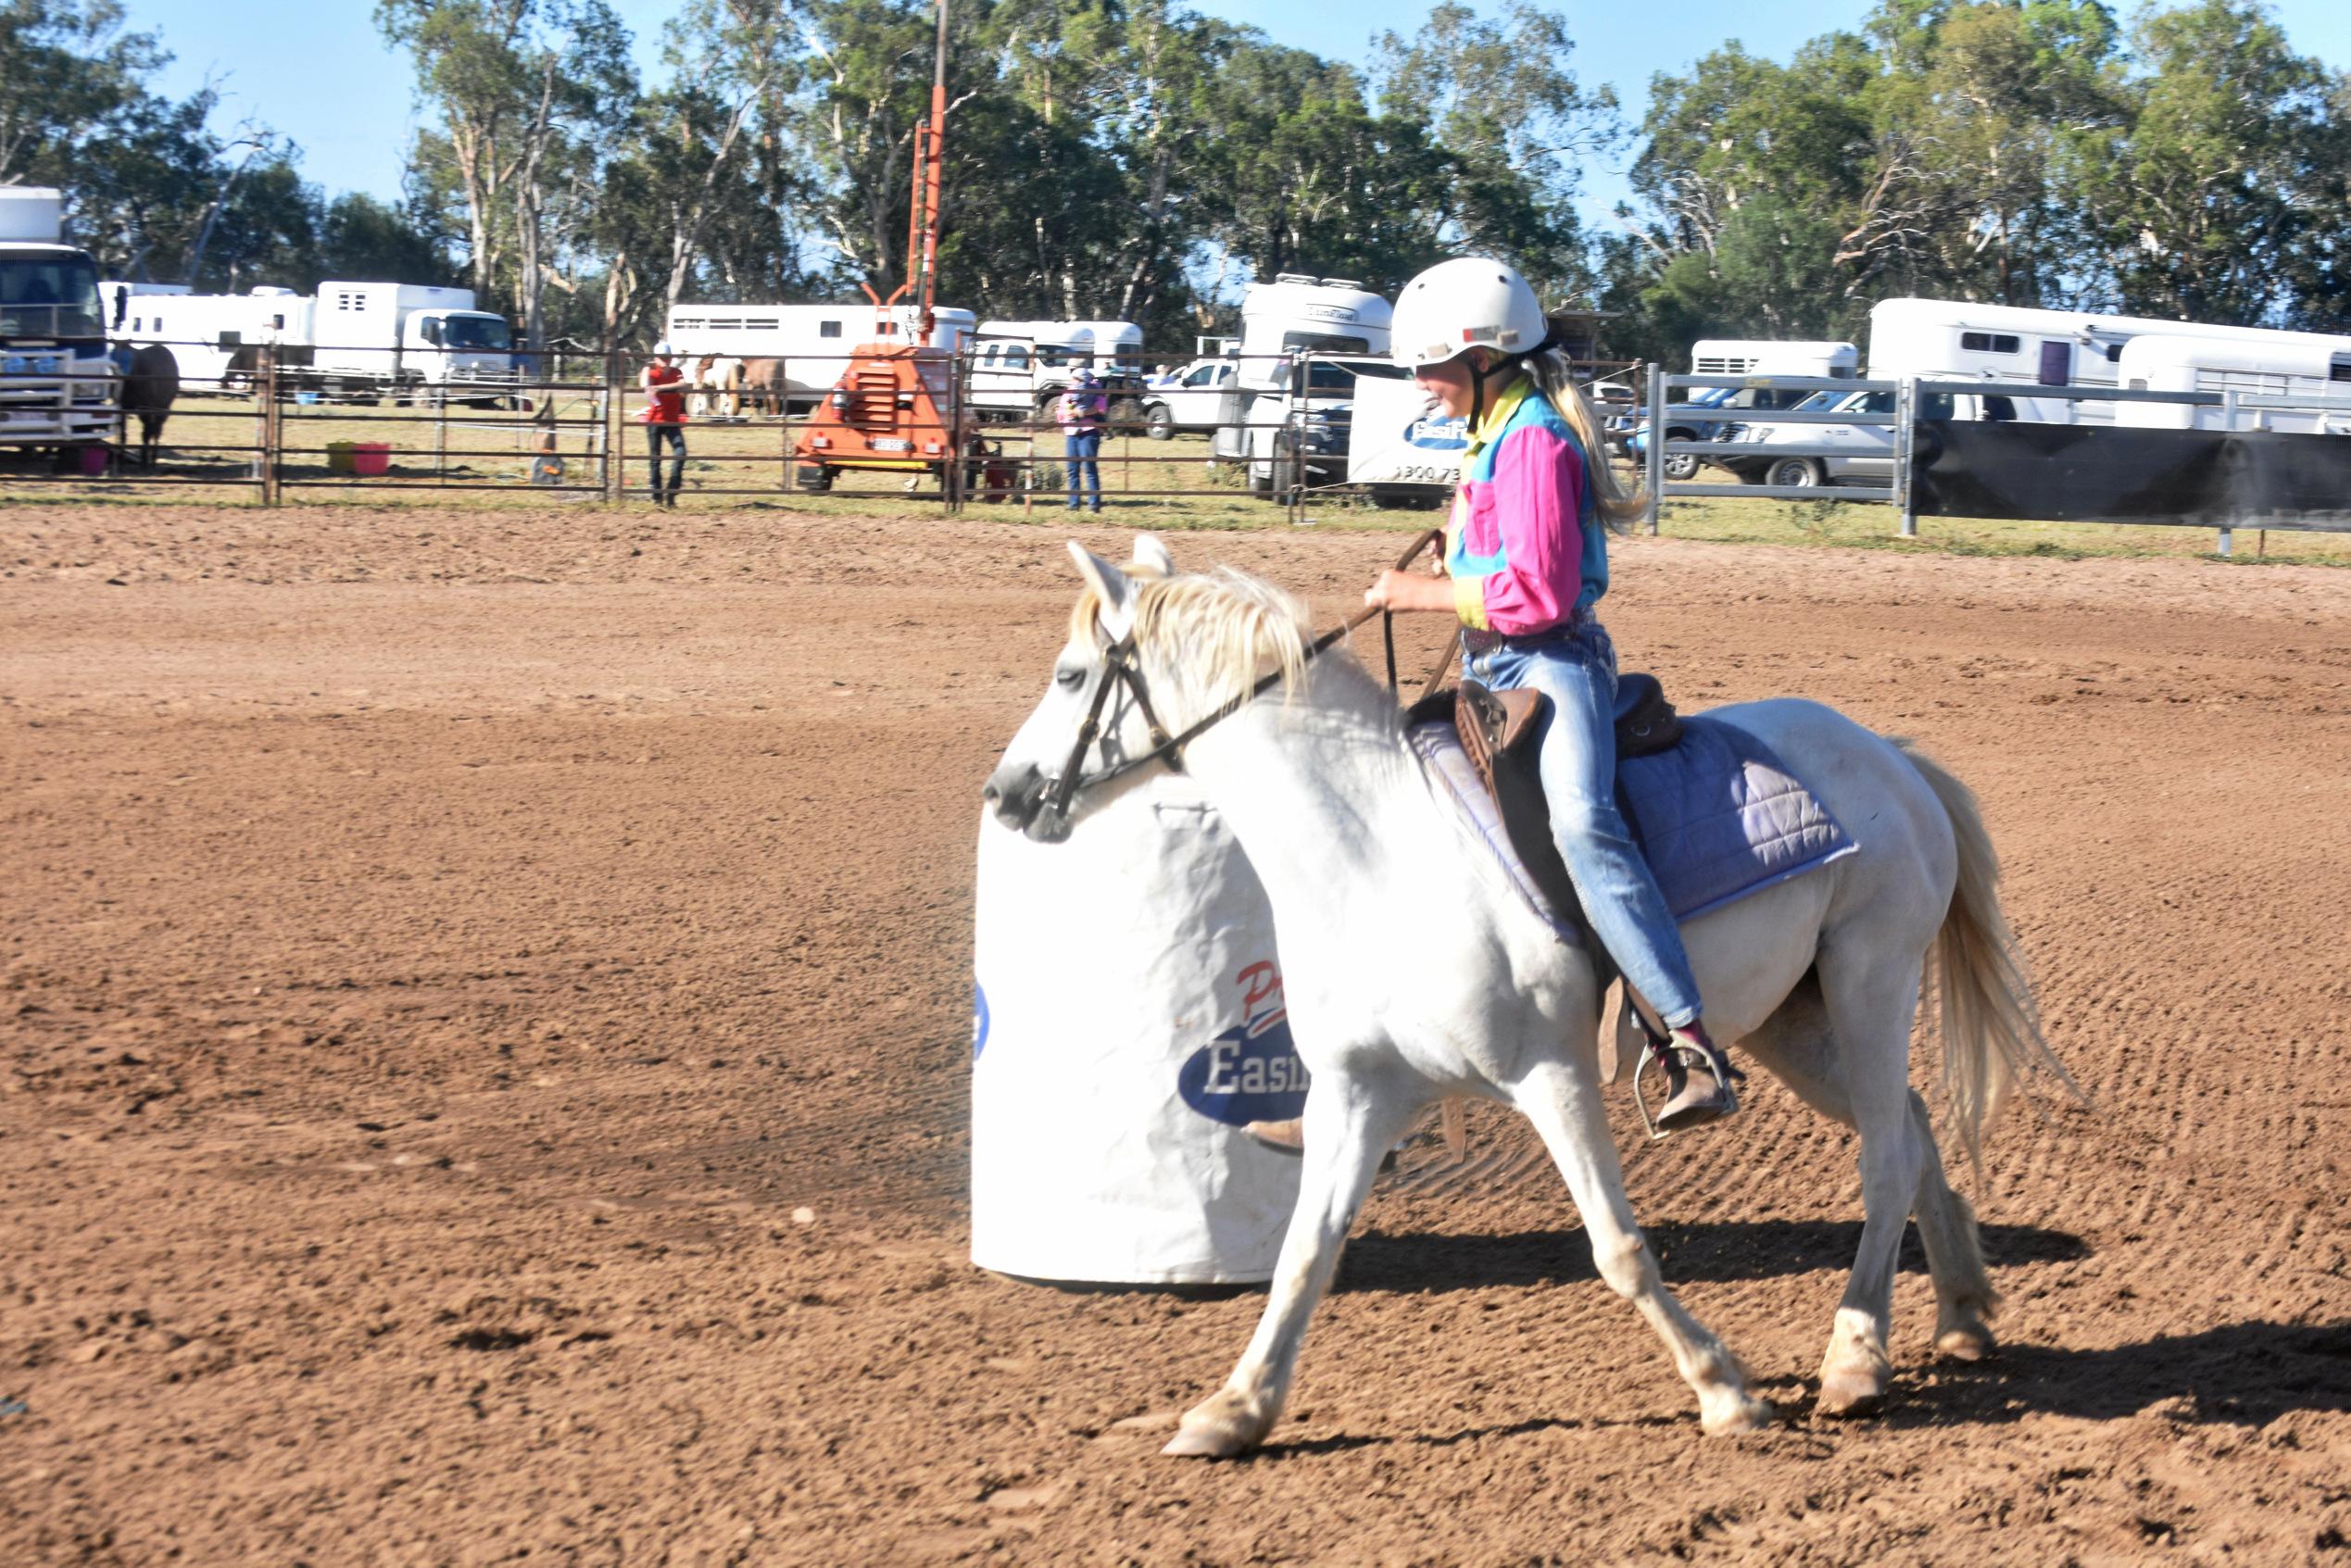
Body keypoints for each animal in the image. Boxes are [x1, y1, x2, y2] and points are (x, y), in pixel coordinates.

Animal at [977, 535, 2078, 1457]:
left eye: (1071, 674)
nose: (1006, 792)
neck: (1381, 853)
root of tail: (1894, 757)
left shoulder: (1551, 1075)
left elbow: (1617, 1248)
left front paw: (1725, 1389)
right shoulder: (1358, 1090)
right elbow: (1305, 1251)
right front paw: (1234, 1409)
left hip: (1870, 976)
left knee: (1886, 1153)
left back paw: (1854, 1359)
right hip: (1791, 1022)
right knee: (1914, 1126)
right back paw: (1961, 1313)